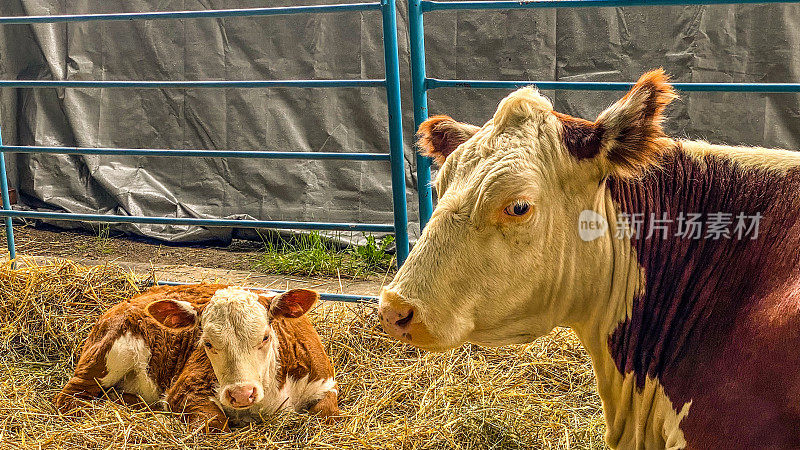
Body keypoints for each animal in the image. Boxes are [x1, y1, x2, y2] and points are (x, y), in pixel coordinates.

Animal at [53, 284, 340, 430]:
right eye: (207, 343)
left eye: (265, 337)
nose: (241, 394)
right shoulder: (185, 390)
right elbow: (215, 423)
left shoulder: (325, 383)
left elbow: (326, 415)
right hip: (110, 354)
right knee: (70, 397)